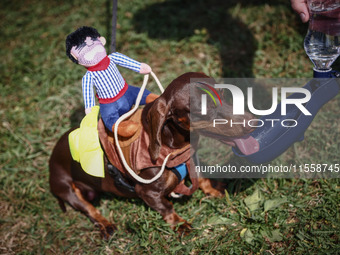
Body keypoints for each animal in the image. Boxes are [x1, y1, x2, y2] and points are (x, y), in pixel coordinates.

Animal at [47, 71, 255, 239]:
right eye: (204, 111)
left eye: (226, 95)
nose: (254, 121)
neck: (173, 145)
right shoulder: (147, 192)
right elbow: (167, 207)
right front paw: (180, 224)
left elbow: (202, 179)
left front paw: (213, 189)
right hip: (67, 189)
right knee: (89, 209)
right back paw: (106, 225)